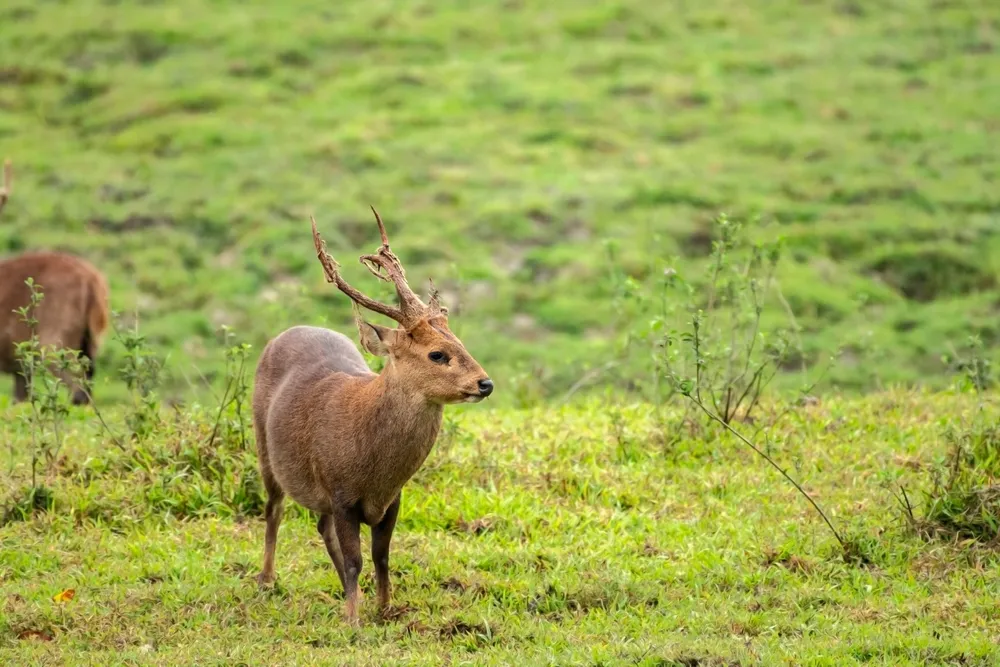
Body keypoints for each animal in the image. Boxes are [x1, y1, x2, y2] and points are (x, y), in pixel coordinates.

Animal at [252, 206, 494, 625]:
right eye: (437, 354)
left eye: (461, 343)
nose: (485, 383)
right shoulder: (340, 491)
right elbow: (356, 559)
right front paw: (353, 621)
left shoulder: (392, 499)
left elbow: (381, 556)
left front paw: (384, 608)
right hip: (264, 448)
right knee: (274, 509)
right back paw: (267, 580)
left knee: (320, 525)